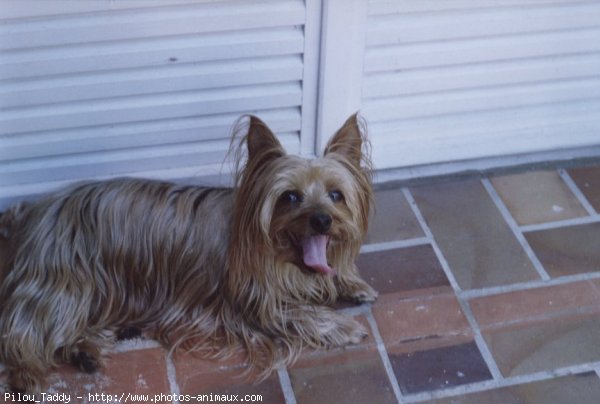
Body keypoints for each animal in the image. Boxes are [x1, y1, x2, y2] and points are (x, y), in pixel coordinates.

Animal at [0, 113, 378, 392]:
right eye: (290, 197)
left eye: (336, 195)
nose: (322, 220)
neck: (281, 258)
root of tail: (30, 213)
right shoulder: (251, 301)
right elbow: (298, 313)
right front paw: (345, 327)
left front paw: (354, 284)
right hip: (65, 282)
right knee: (21, 330)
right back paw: (29, 373)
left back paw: (87, 351)